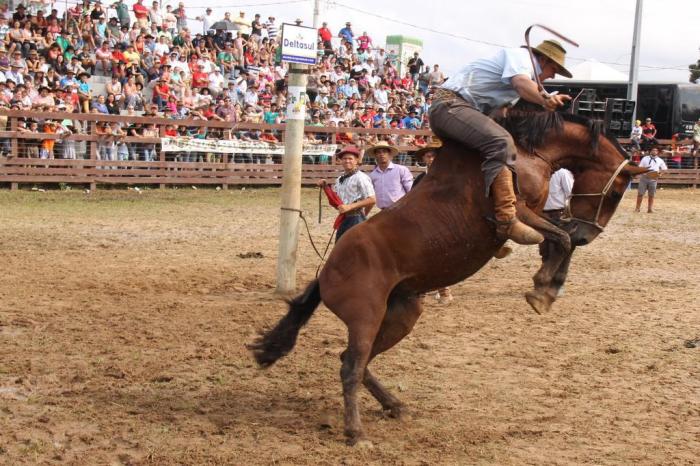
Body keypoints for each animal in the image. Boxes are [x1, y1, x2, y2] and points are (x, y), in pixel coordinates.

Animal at [249, 111, 648, 446]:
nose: (587, 236)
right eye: (616, 190)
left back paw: (394, 405)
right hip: (366, 315)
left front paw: (548, 284)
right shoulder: (519, 211)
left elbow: (559, 239)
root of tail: (327, 271)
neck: (528, 151)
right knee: (351, 366)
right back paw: (356, 433)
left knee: (355, 362)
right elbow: (559, 237)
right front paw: (543, 289)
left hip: (402, 314)